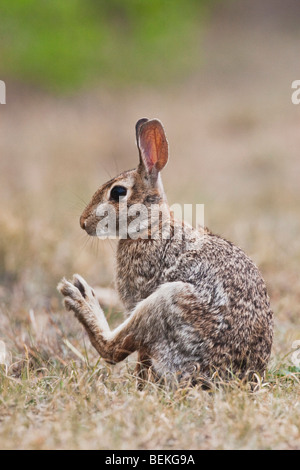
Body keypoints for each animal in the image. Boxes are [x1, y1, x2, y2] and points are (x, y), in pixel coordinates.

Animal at [57, 117, 274, 386]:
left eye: (118, 192)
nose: (83, 222)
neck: (151, 226)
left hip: (166, 302)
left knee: (112, 350)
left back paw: (80, 298)